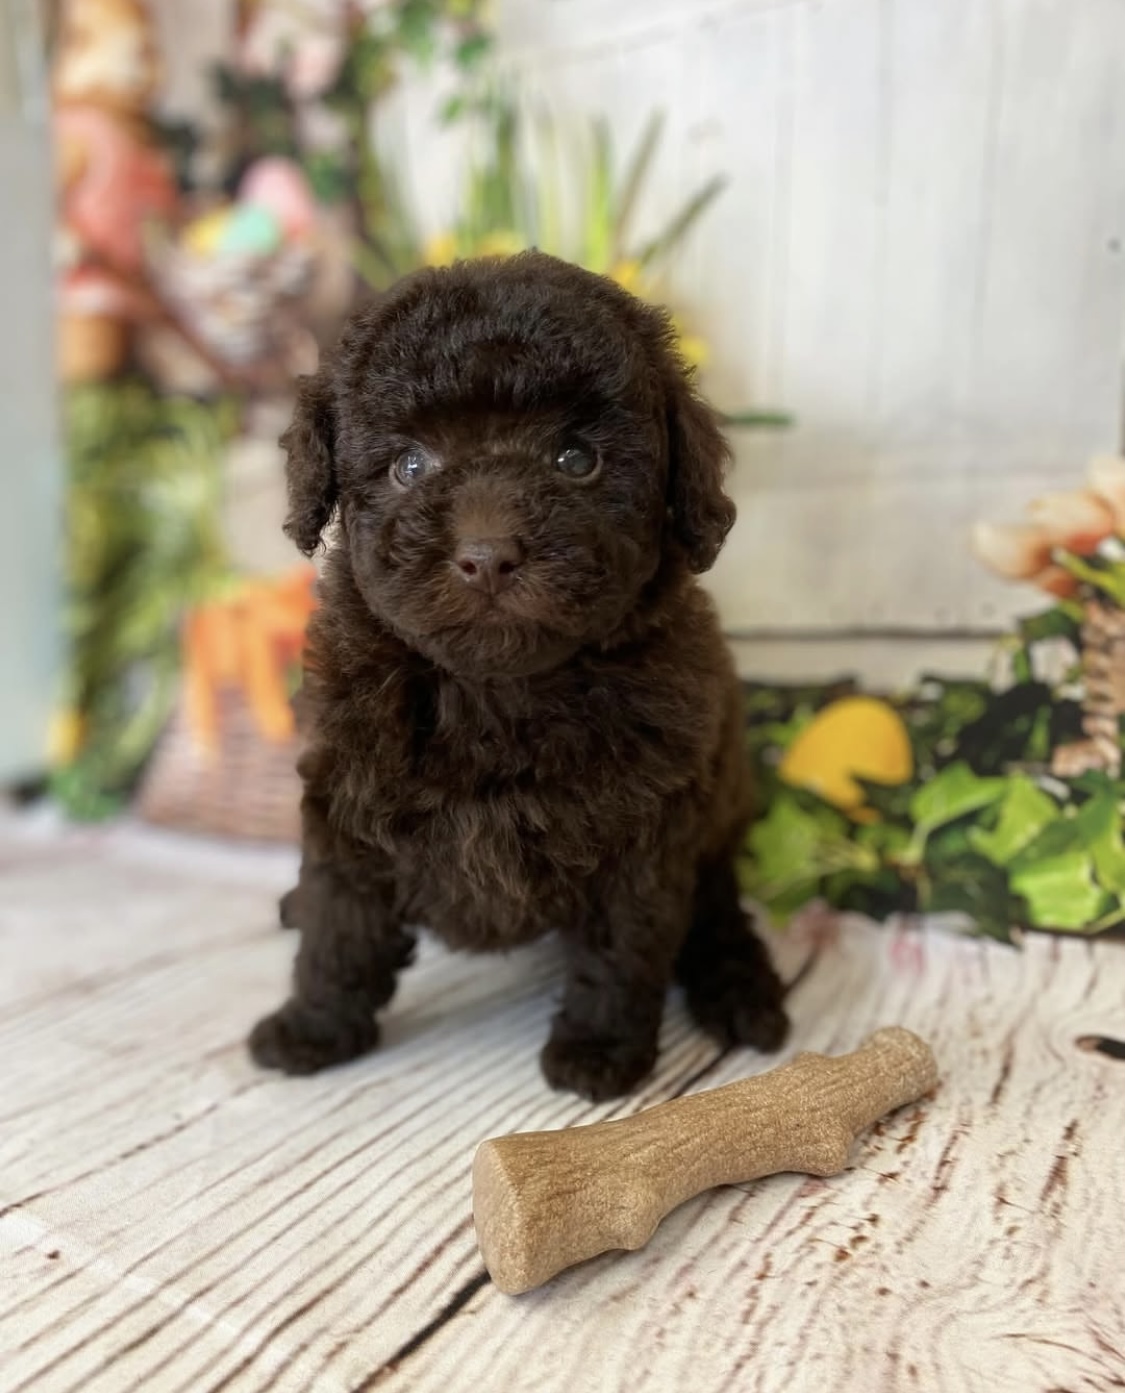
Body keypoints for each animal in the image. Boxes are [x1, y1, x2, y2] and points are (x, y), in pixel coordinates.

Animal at [249, 250, 789, 1100]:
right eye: (409, 465)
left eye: (577, 460)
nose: (487, 554)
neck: (493, 690)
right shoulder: (348, 796)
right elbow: (340, 922)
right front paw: (313, 1026)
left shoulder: (646, 829)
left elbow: (621, 944)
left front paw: (599, 1049)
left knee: (716, 912)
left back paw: (742, 993)